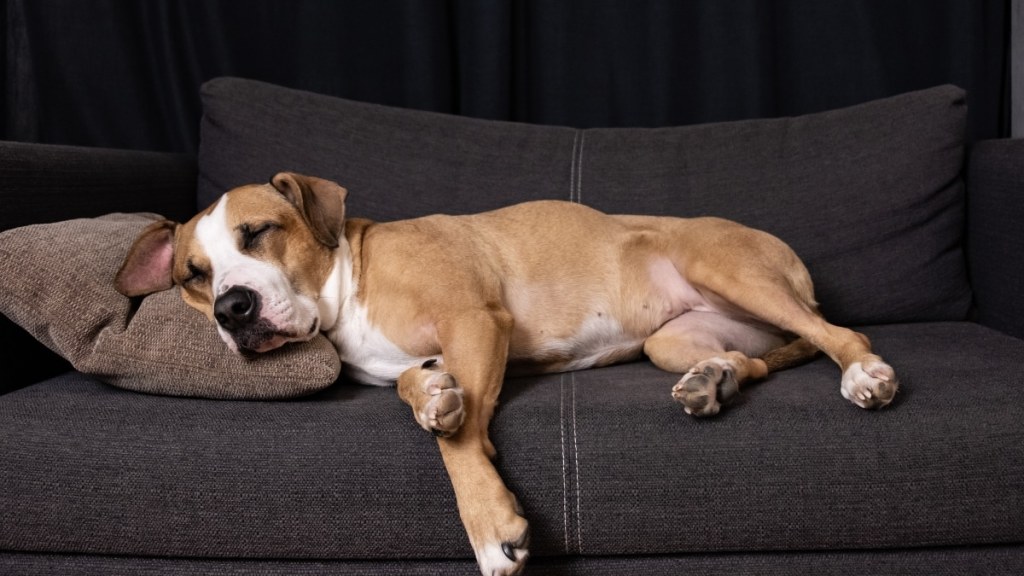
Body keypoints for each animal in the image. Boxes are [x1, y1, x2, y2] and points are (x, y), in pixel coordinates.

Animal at [115, 172, 898, 576]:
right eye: (193, 275)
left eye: (258, 233)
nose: (233, 309)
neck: (347, 282)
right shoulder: (430, 353)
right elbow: (421, 390)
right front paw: (432, 395)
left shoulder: (475, 320)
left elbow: (459, 448)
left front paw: (493, 528)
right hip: (674, 340)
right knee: (752, 357)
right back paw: (714, 379)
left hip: (727, 269)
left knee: (840, 335)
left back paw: (862, 372)